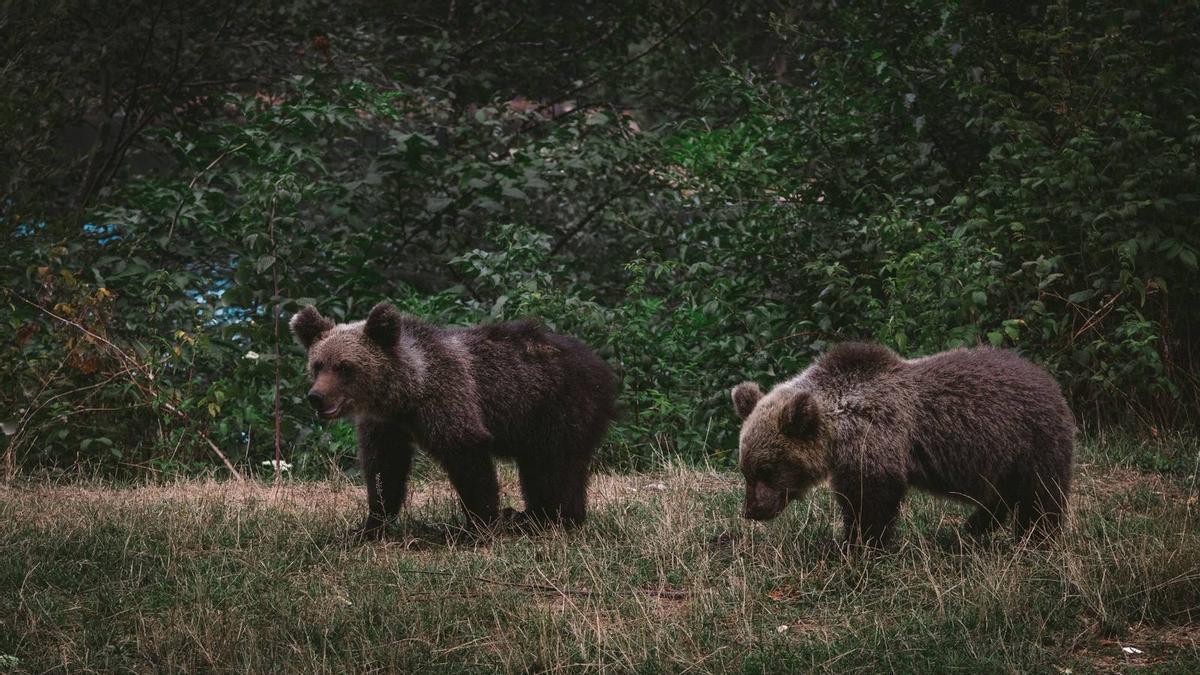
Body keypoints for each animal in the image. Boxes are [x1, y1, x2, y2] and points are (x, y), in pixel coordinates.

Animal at [290, 302, 617, 539]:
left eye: (345, 367)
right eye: (318, 364)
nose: (316, 397)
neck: (407, 391)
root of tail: (601, 365)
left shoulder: (449, 400)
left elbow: (468, 458)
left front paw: (479, 525)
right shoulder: (385, 425)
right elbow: (384, 469)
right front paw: (369, 525)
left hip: (556, 407)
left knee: (552, 465)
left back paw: (546, 518)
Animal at [730, 342, 1075, 547]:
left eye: (767, 469)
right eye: (746, 469)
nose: (751, 510)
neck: (837, 430)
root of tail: (1048, 379)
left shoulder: (877, 437)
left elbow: (870, 499)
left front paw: (859, 544)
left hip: (1030, 441)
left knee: (1039, 495)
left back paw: (1034, 538)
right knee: (1001, 494)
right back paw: (974, 525)